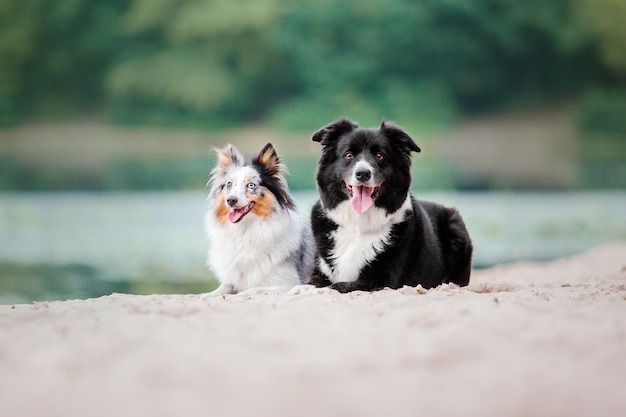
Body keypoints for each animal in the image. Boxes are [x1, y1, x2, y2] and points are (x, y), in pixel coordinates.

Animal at [308, 118, 472, 292]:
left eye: (380, 156)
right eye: (349, 155)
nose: (363, 174)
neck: (358, 225)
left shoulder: (381, 280)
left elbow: (336, 286)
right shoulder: (319, 271)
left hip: (455, 224)